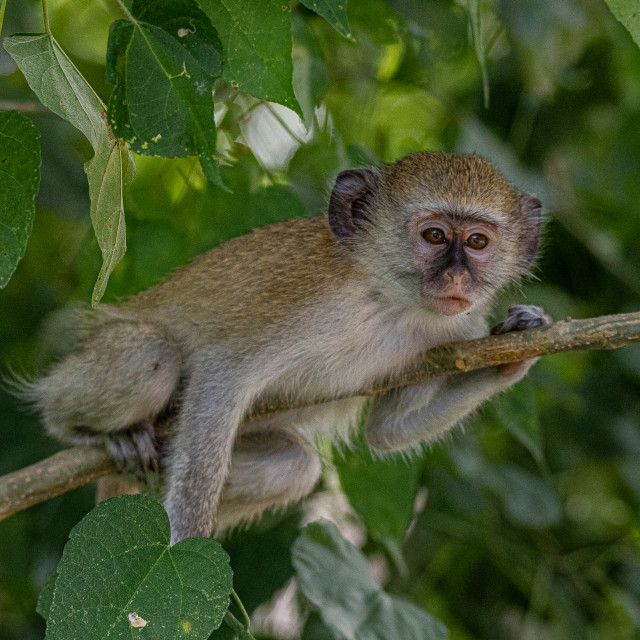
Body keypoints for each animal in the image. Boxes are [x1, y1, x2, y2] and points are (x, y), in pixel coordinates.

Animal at [26, 152, 552, 544]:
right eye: (435, 235)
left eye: (478, 241)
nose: (458, 278)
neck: (393, 303)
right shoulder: (319, 307)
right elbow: (223, 376)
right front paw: (181, 545)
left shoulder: (459, 328)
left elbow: (387, 430)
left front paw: (519, 348)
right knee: (152, 357)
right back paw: (88, 431)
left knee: (296, 467)